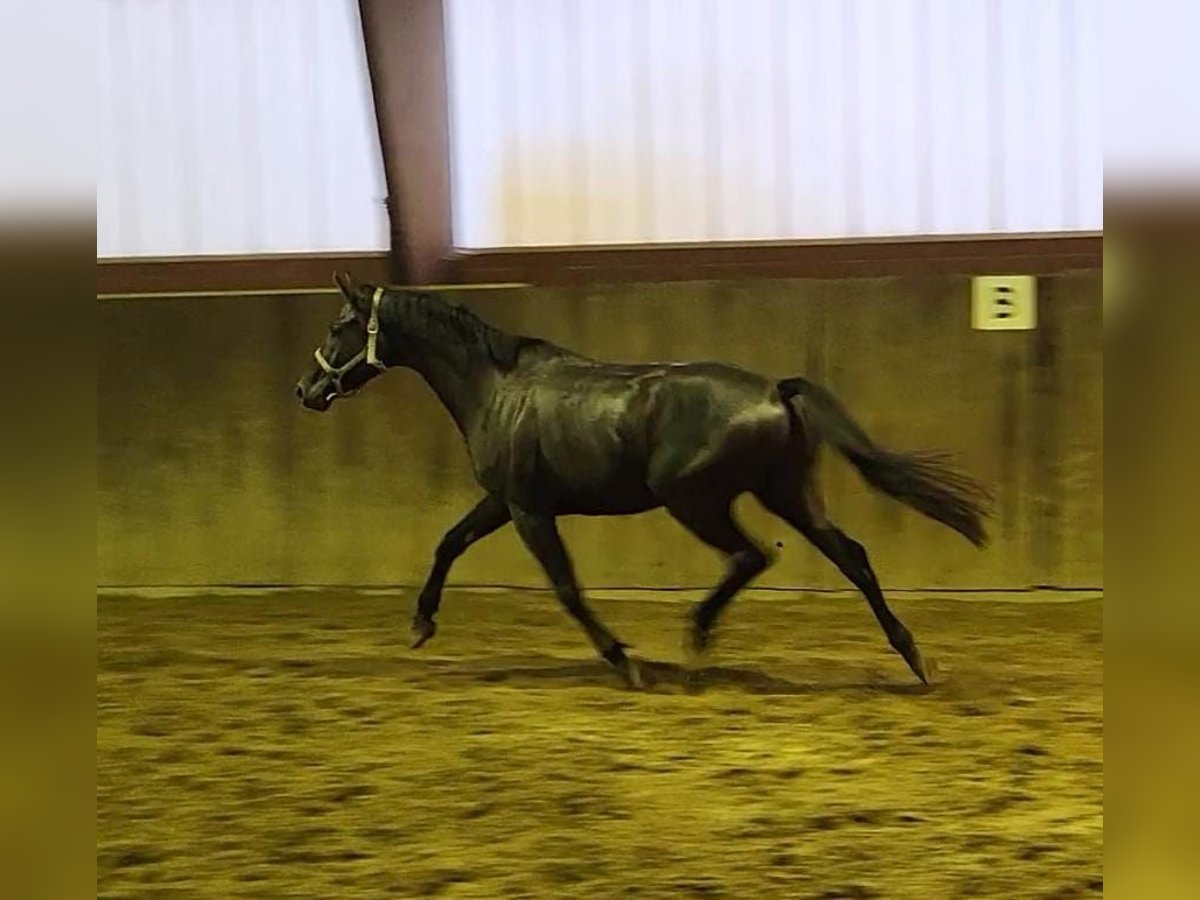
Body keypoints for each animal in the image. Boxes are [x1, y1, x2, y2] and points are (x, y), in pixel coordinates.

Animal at [295, 272, 991, 688]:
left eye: (336, 325)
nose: (306, 389)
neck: (496, 387)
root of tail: (775, 389)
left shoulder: (528, 509)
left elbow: (567, 587)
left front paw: (625, 662)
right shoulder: (503, 500)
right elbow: (449, 543)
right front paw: (420, 626)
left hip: (694, 500)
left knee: (751, 556)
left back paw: (697, 638)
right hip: (787, 495)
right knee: (852, 558)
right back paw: (915, 657)